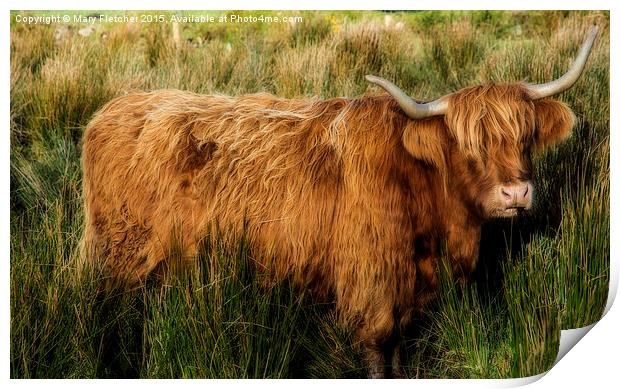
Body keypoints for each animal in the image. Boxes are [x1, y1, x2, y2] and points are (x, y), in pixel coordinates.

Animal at [80, 26, 600, 376]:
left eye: (526, 137)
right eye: (467, 145)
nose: (516, 193)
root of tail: (112, 110)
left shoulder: (407, 288)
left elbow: (399, 348)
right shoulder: (370, 283)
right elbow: (377, 349)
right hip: (121, 260)